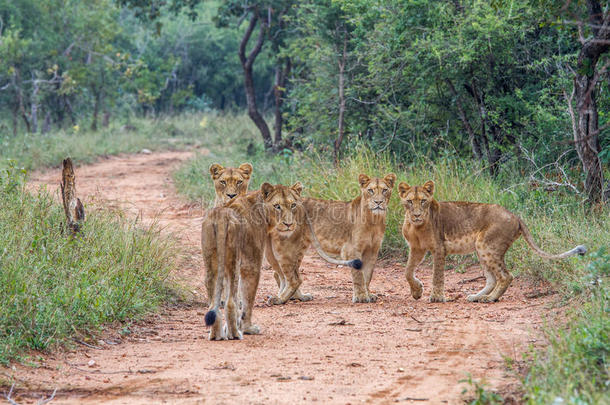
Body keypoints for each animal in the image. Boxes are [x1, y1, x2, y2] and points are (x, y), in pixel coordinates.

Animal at [278, 172, 396, 302]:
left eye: (385, 190)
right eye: (370, 190)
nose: (378, 202)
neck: (375, 220)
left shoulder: (373, 250)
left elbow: (368, 275)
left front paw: (369, 295)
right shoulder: (352, 250)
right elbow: (359, 275)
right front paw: (361, 297)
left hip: (300, 247)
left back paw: (299, 296)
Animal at [396, 178, 588, 302]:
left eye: (423, 201)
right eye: (409, 202)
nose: (417, 215)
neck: (415, 226)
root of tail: (515, 216)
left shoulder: (439, 248)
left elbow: (437, 275)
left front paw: (436, 297)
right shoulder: (416, 248)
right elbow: (407, 271)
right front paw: (417, 291)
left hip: (486, 245)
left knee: (506, 276)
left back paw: (490, 298)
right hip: (481, 248)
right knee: (492, 279)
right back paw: (476, 297)